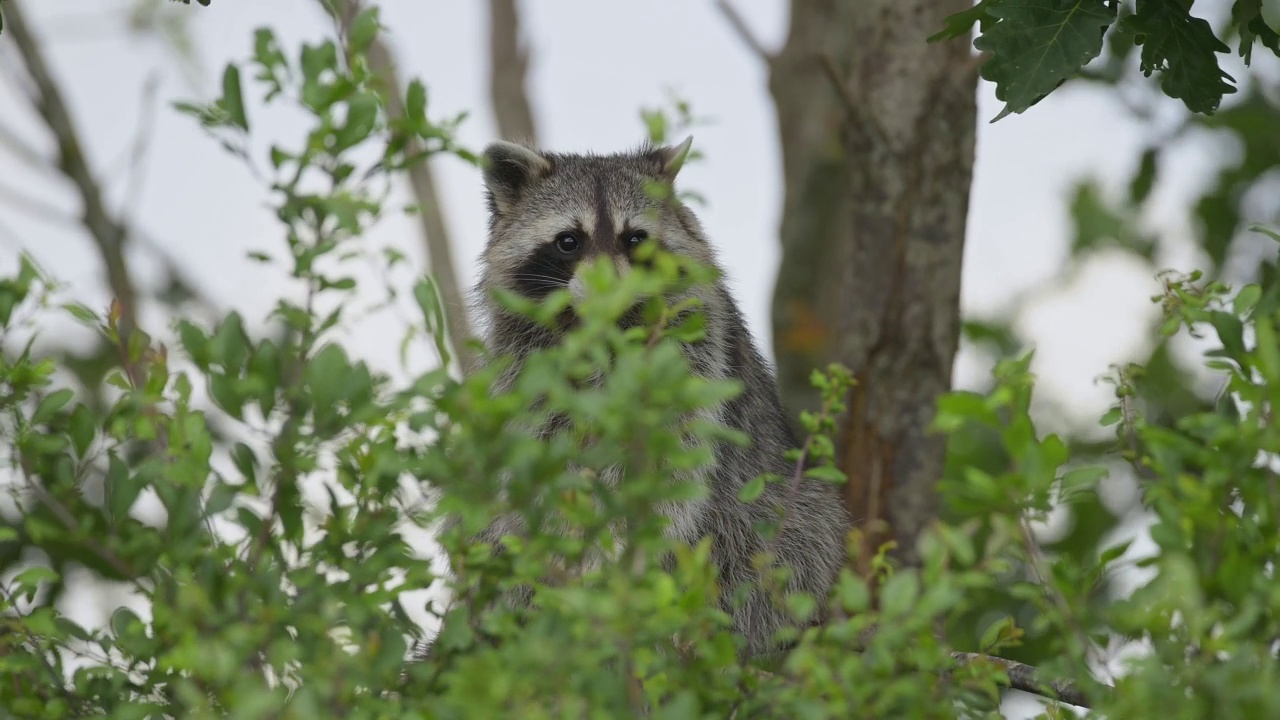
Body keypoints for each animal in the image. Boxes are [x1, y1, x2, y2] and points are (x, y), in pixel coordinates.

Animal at [427, 137, 849, 661]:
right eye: (569, 240)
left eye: (635, 238)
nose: (610, 287)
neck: (600, 330)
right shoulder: (525, 369)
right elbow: (535, 470)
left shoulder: (693, 360)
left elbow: (669, 479)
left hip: (776, 517)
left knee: (792, 538)